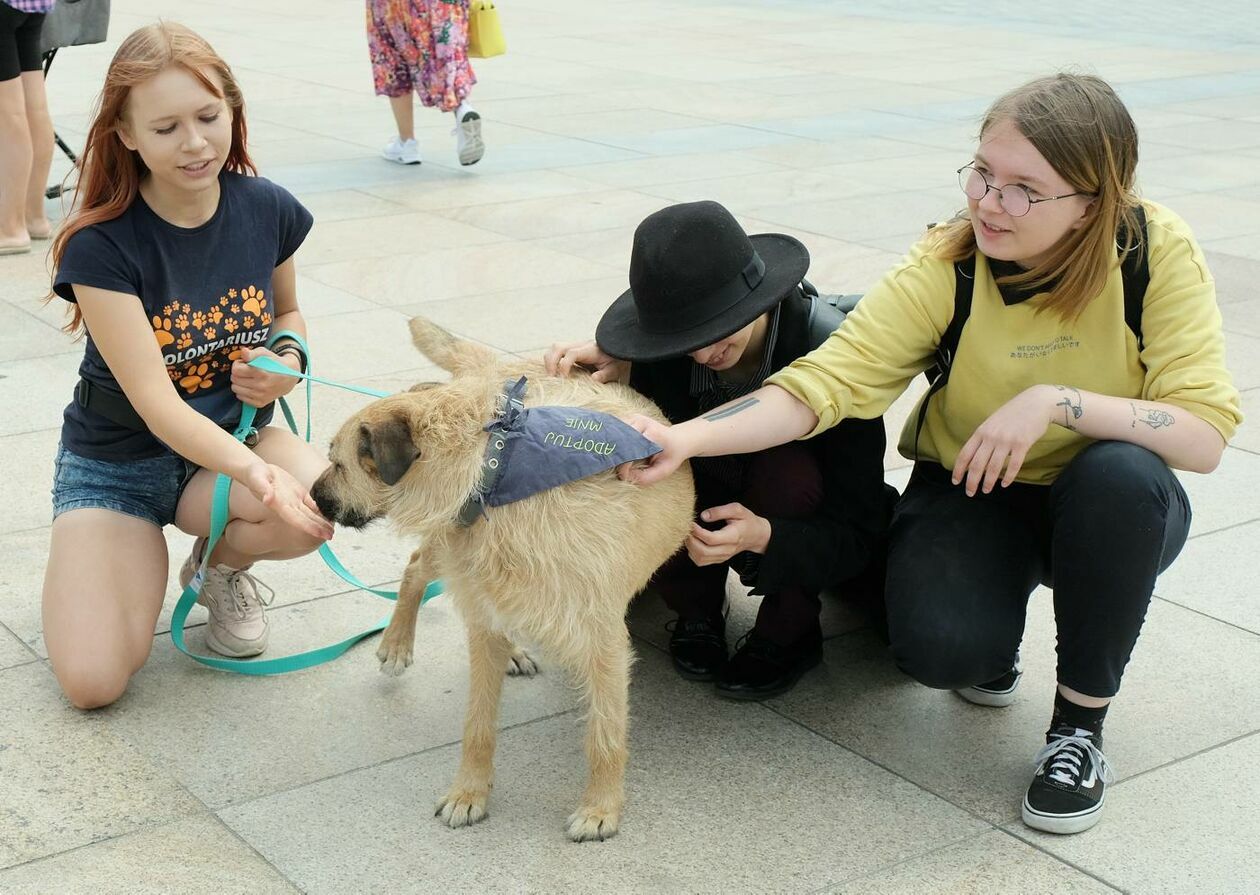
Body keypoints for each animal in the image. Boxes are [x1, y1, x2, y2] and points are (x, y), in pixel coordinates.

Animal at [308, 317, 695, 842]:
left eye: (338, 463)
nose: (311, 497)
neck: (494, 468)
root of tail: (504, 369)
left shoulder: (604, 643)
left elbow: (605, 734)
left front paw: (600, 808)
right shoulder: (482, 617)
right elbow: (478, 723)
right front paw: (470, 793)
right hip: (449, 559)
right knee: (416, 565)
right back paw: (397, 644)